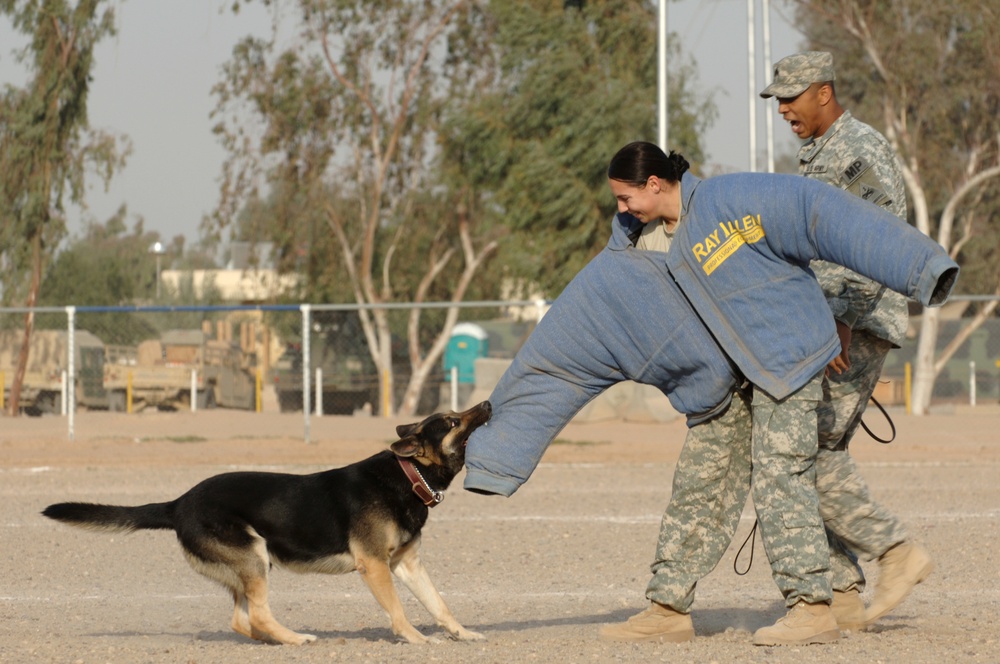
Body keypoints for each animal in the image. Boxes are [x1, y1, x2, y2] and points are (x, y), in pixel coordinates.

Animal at [43, 400, 492, 644]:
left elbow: (439, 604)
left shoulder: (408, 565)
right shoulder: (376, 566)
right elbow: (398, 611)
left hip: (245, 566)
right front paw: (417, 639)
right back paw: (296, 639)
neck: (407, 476)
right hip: (254, 556)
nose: (488, 405)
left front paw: (462, 634)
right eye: (453, 422)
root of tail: (178, 503)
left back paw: (277, 640)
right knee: (255, 615)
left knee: (241, 620)